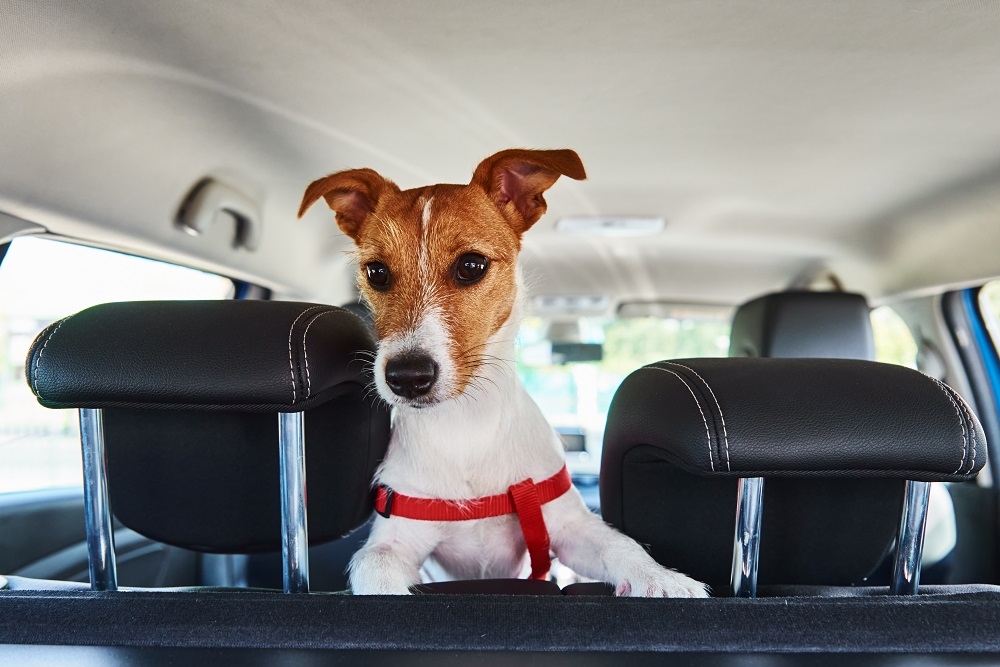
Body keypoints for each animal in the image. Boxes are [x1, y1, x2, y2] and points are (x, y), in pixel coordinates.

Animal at [300, 150, 708, 600]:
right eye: (376, 272)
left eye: (471, 265)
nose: (406, 377)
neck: (466, 428)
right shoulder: (394, 541)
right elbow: (374, 568)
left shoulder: (567, 527)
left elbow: (621, 544)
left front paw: (662, 579)